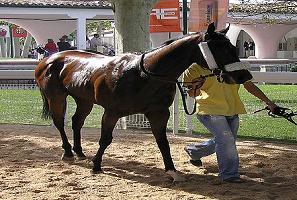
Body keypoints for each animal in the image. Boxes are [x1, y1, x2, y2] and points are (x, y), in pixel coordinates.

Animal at [34, 23, 252, 181]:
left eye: (233, 46)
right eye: (220, 48)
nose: (245, 75)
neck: (143, 74)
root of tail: (49, 59)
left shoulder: (158, 113)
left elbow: (163, 142)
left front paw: (172, 170)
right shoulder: (112, 112)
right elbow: (105, 139)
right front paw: (96, 165)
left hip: (83, 100)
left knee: (76, 122)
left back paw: (79, 152)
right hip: (56, 97)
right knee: (59, 122)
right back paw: (68, 152)